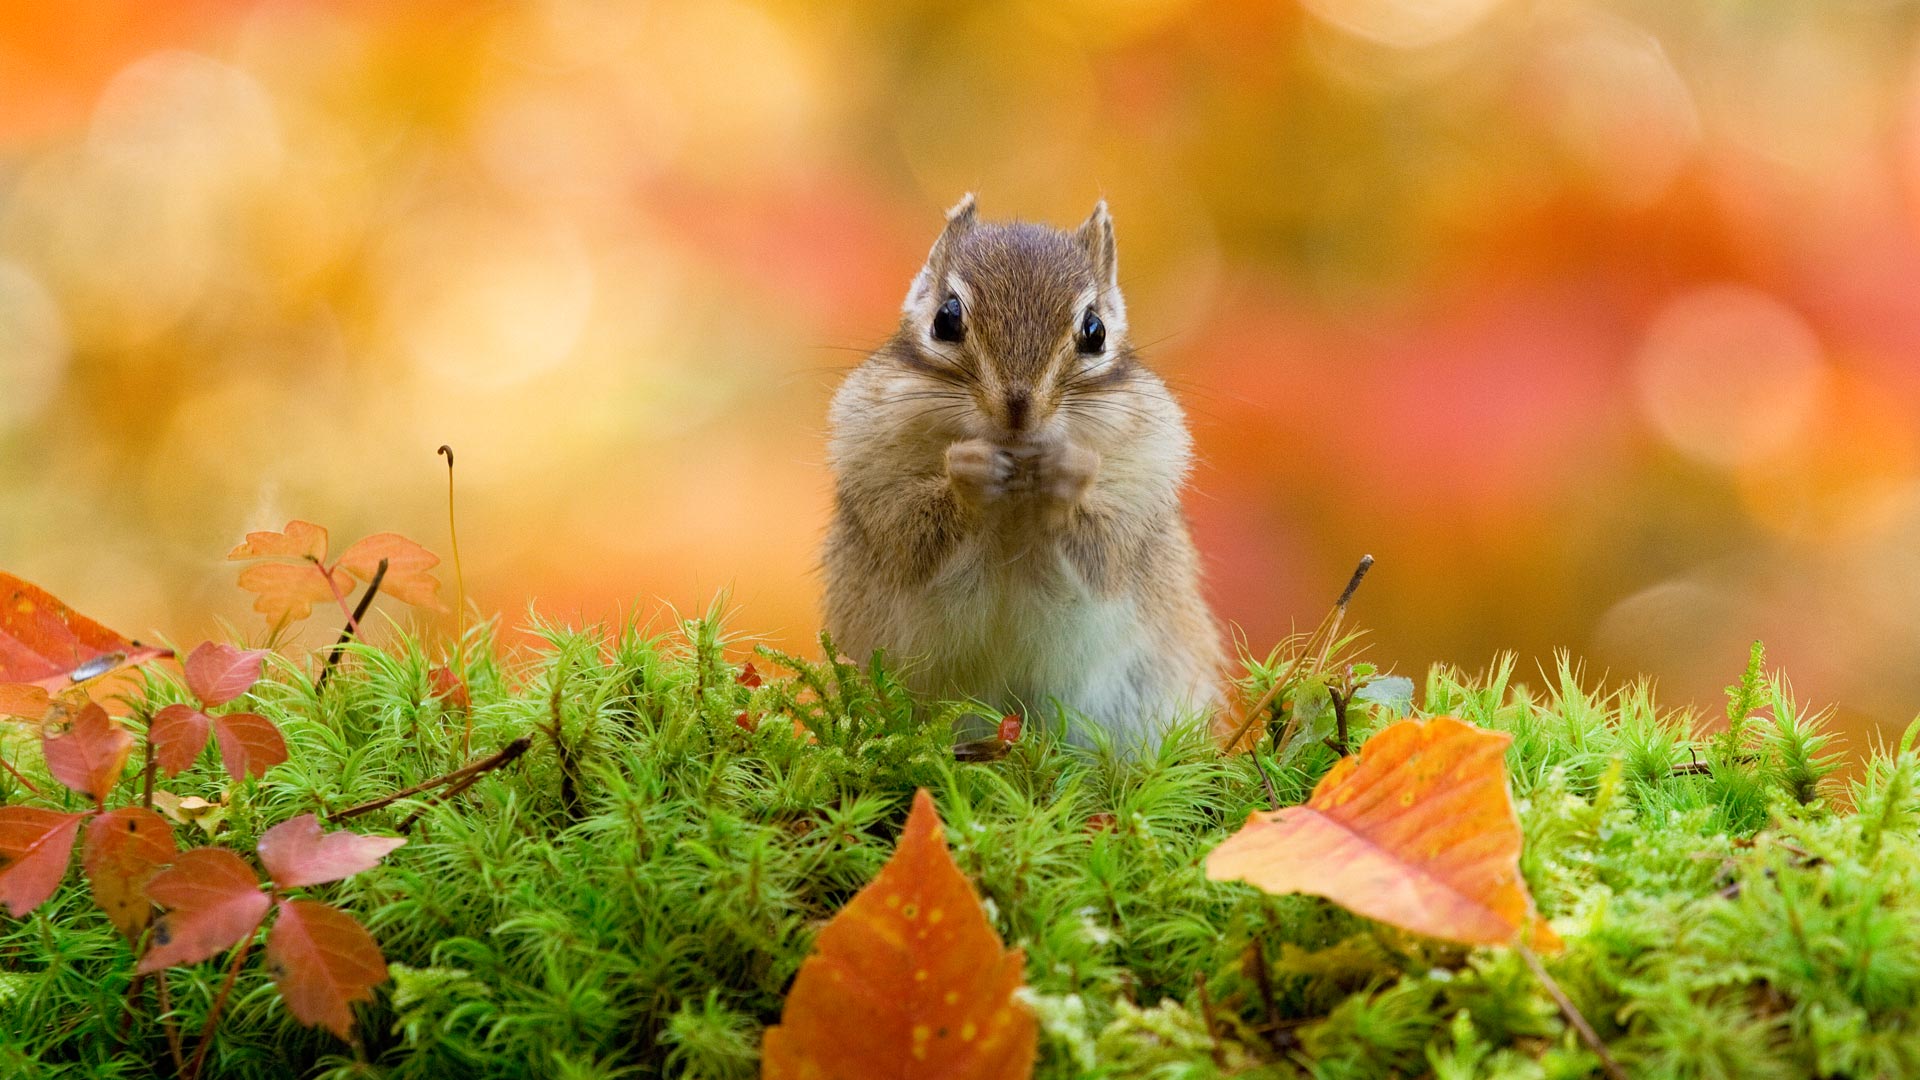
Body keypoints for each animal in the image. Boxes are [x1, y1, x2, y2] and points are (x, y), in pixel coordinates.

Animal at [822, 194, 1225, 746]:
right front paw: (969, 470)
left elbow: (1106, 550)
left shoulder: (1142, 489)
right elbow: (909, 535)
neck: (1016, 498)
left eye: (1095, 331)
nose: (1018, 410)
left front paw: (1065, 471)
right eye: (946, 319)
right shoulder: (873, 475)